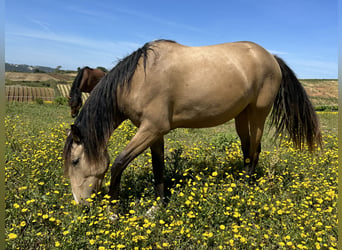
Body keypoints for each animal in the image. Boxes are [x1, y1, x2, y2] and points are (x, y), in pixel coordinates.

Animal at [62, 39, 320, 207]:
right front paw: (157, 206)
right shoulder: (155, 132)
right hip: (242, 115)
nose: (80, 204)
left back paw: (245, 190)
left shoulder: (151, 129)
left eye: (75, 161)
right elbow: (158, 167)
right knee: (247, 150)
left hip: (258, 114)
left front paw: (113, 210)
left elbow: (118, 163)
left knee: (255, 151)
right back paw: (238, 186)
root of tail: (270, 57)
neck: (137, 80)